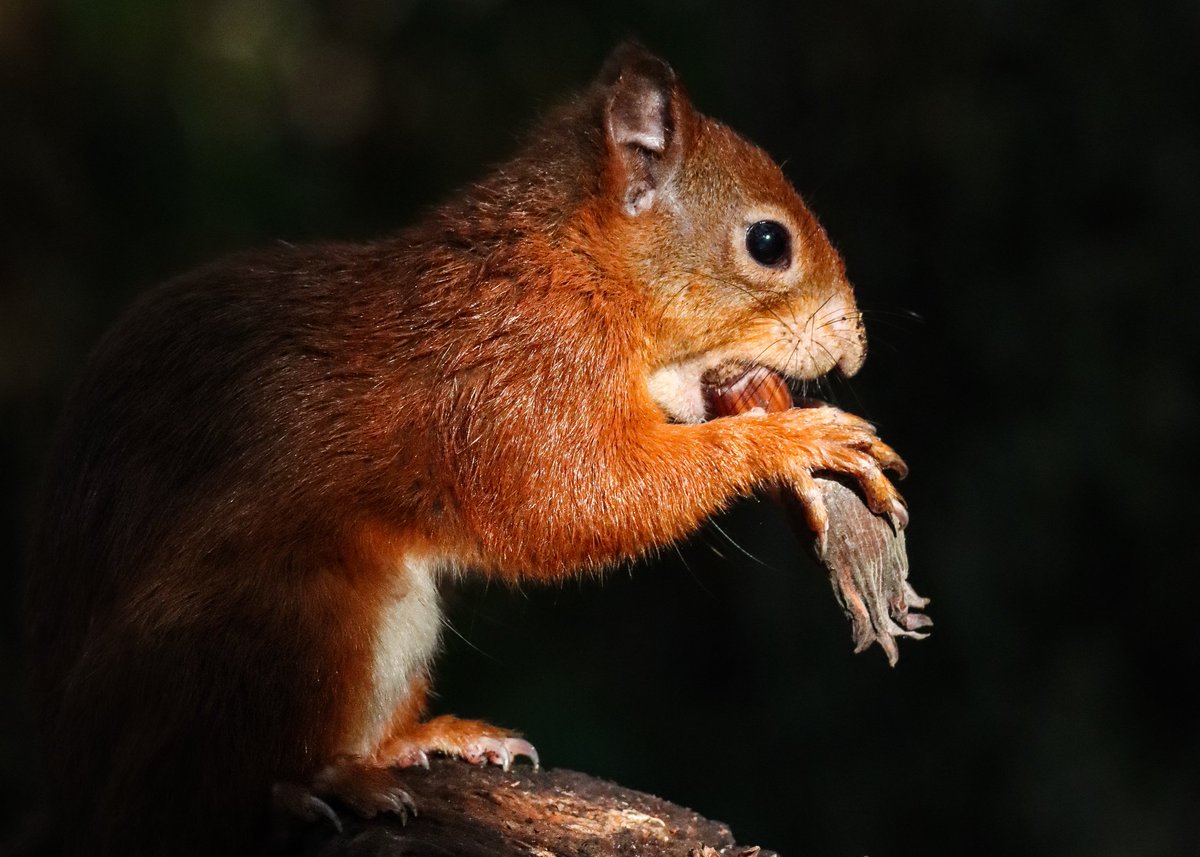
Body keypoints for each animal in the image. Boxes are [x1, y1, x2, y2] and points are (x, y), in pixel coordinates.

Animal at [23, 43, 906, 856]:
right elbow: (569, 498)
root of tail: (73, 784)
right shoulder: (518, 379)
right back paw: (307, 785)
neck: (575, 268)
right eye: (768, 242)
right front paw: (790, 440)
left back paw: (423, 740)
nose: (856, 348)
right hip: (283, 621)